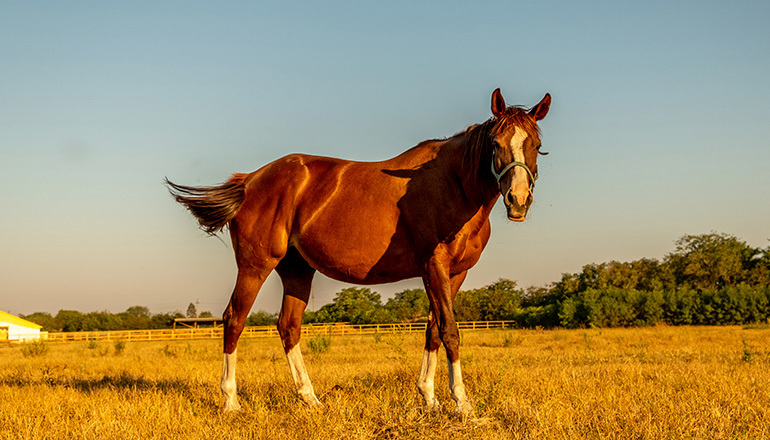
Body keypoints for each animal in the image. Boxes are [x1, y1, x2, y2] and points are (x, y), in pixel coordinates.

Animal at [165, 88, 548, 416]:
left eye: (537, 145)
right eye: (495, 143)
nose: (518, 200)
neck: (451, 184)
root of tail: (250, 180)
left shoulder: (455, 273)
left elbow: (433, 330)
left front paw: (429, 397)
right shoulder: (434, 266)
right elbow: (450, 332)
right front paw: (462, 403)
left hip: (297, 270)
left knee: (288, 327)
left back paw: (310, 398)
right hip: (254, 266)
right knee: (234, 320)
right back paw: (231, 401)